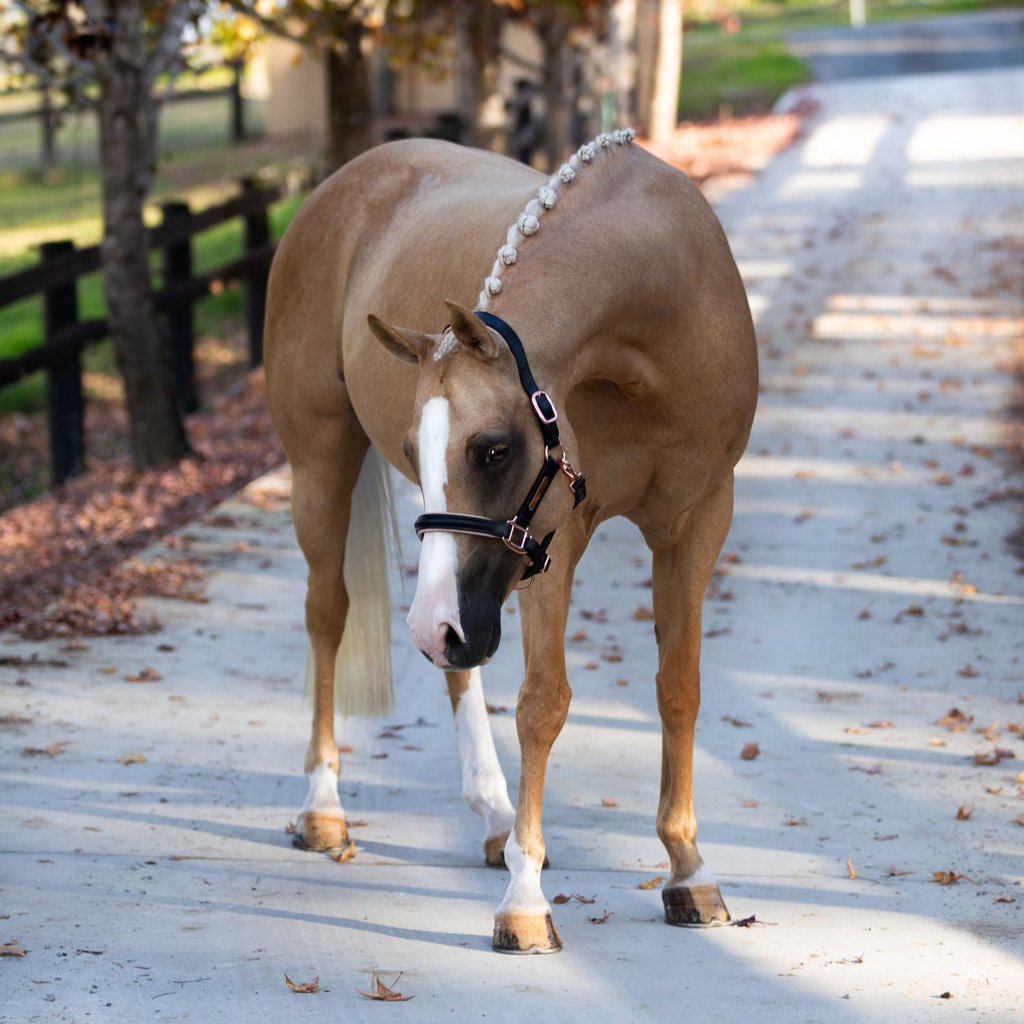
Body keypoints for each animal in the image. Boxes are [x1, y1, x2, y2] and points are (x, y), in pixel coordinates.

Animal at [263, 129, 758, 954]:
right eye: (418, 444)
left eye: (493, 450)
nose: (436, 627)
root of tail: (345, 181)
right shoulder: (558, 533)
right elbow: (543, 703)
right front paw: (527, 904)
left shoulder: (698, 522)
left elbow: (678, 688)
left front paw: (689, 871)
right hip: (323, 466)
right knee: (328, 616)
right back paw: (323, 807)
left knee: (454, 664)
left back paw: (494, 817)